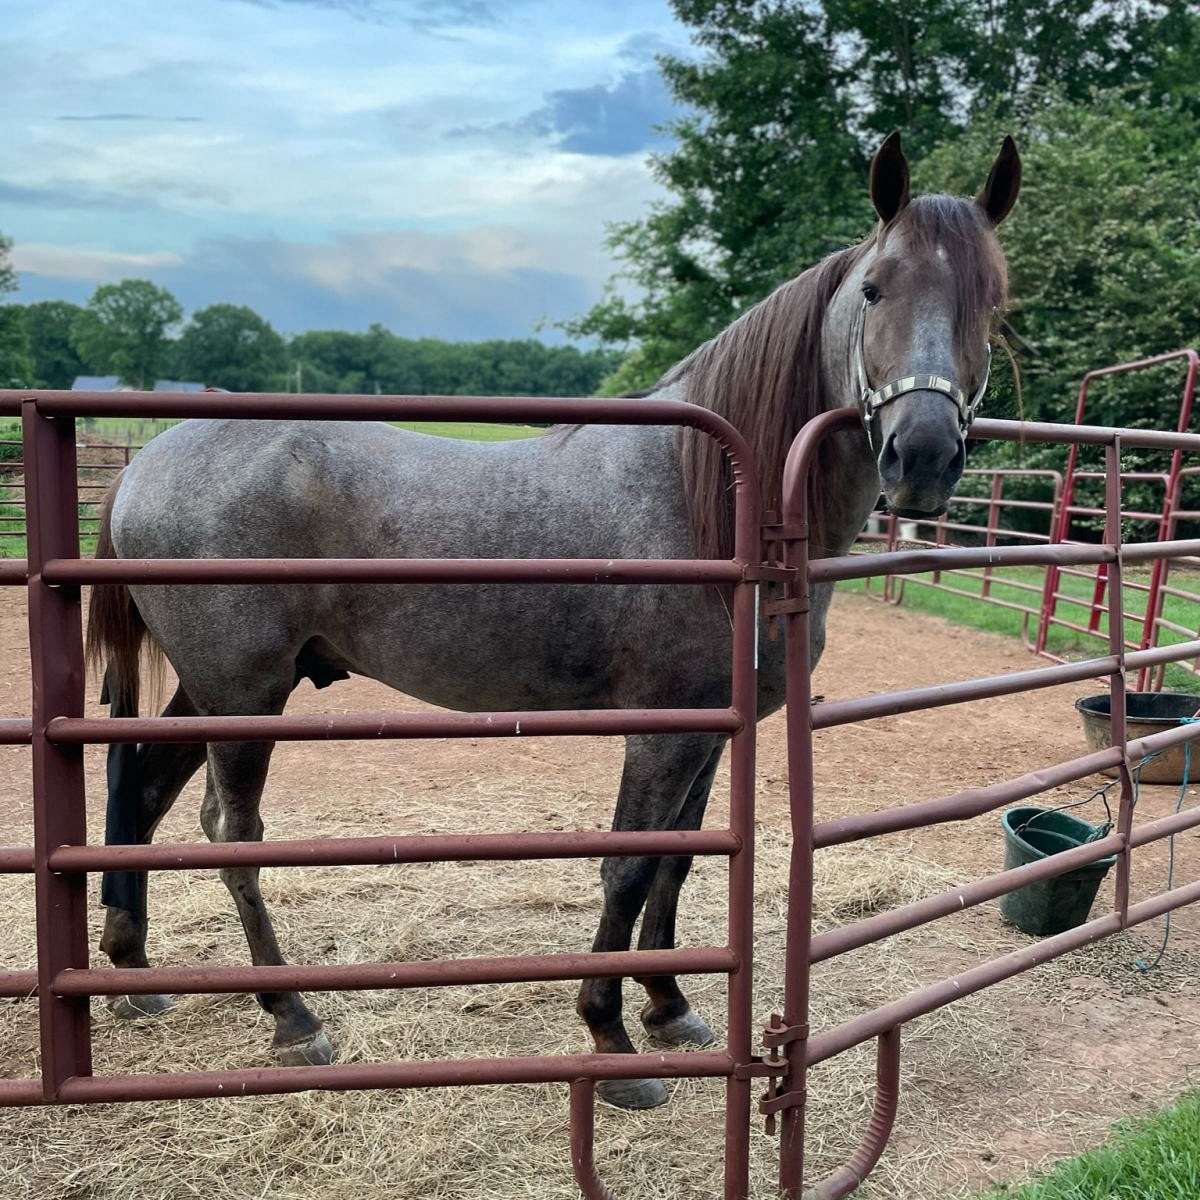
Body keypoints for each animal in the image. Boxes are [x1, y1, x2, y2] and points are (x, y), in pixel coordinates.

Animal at [87, 129, 1022, 1104]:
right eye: (876, 287)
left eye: (992, 305)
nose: (923, 455)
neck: (711, 501)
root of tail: (146, 462)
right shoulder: (661, 730)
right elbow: (628, 865)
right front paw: (610, 1041)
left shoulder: (711, 730)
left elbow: (680, 858)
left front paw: (669, 1007)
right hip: (244, 695)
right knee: (229, 833)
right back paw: (292, 1018)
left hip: (217, 688)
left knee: (140, 793)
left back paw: (134, 973)